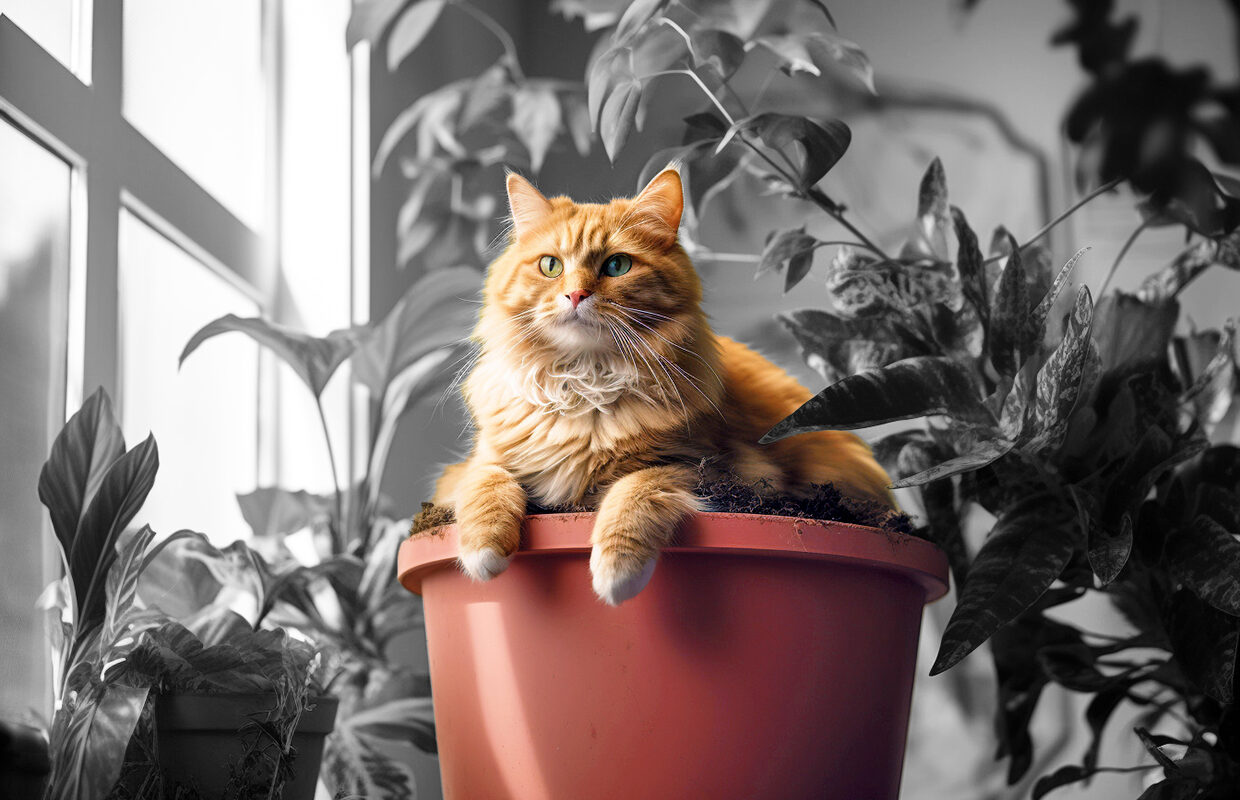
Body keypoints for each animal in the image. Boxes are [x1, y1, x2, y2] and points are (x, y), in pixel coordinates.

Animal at [434, 169, 892, 605]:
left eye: (617, 266)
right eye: (551, 266)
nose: (576, 294)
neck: (585, 383)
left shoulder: (699, 466)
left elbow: (633, 492)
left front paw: (616, 574)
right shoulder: (484, 459)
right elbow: (486, 483)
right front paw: (484, 553)